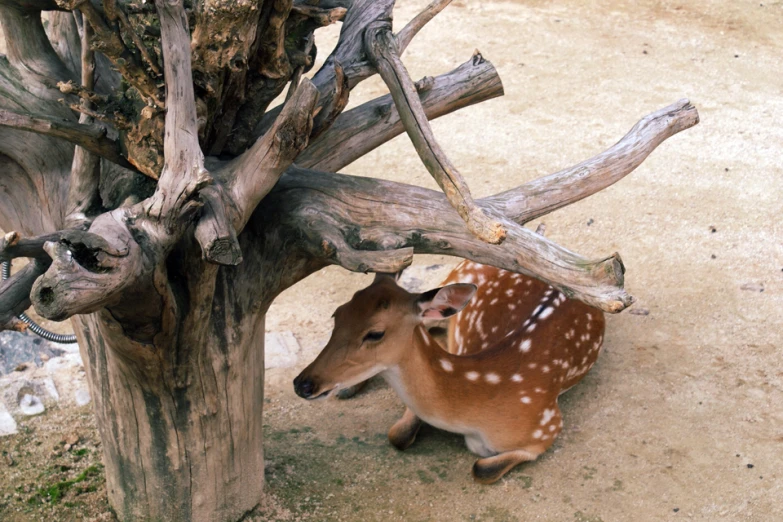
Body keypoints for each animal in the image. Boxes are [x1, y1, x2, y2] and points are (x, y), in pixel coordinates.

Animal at [294, 254, 608, 482]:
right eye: (337, 314)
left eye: (375, 333)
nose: (302, 384)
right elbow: (397, 435)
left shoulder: (547, 426)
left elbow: (481, 468)